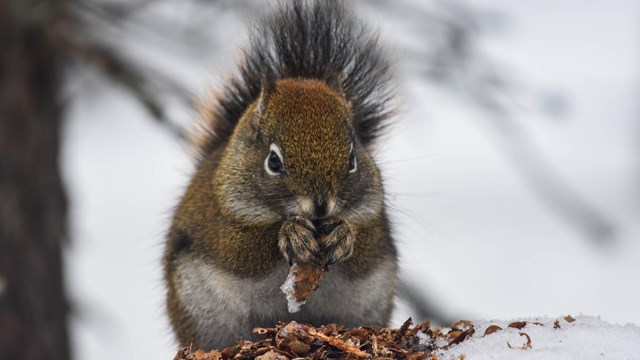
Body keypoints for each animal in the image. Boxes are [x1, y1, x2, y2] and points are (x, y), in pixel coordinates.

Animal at [162, 0, 398, 350]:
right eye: (273, 161)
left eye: (353, 158)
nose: (320, 206)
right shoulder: (217, 224)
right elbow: (240, 251)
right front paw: (290, 233)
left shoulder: (376, 221)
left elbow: (366, 251)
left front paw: (343, 234)